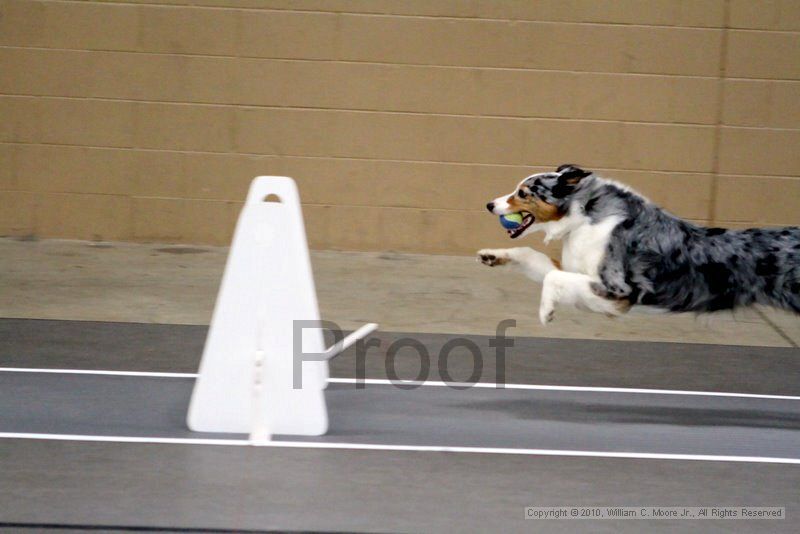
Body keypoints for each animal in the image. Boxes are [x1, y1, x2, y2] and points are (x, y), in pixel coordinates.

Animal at [478, 165, 796, 324]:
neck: (582, 217)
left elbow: (553, 278)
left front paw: (546, 311)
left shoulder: (618, 291)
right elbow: (531, 255)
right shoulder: (580, 273)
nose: (489, 204)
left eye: (523, 193)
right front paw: (492, 255)